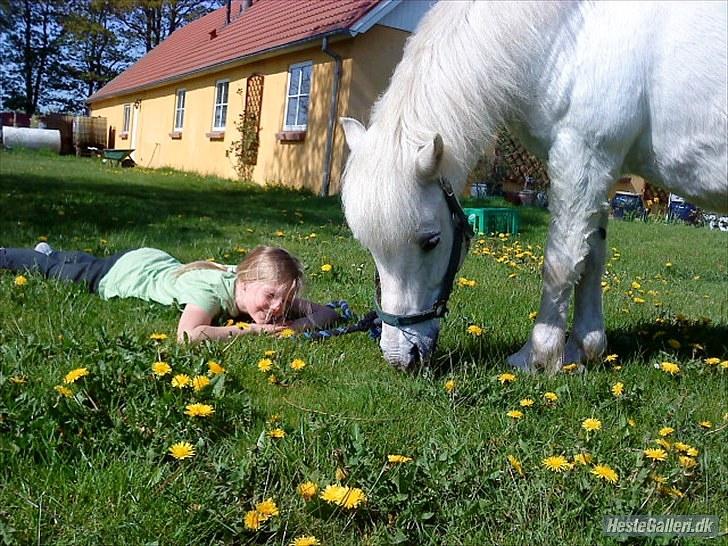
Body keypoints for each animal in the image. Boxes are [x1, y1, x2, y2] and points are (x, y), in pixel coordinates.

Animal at [342, 0, 728, 370]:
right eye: (370, 248)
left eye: (431, 241)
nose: (401, 358)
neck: (573, 31)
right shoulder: (600, 170)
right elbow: (592, 258)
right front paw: (583, 349)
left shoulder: (582, 157)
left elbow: (562, 264)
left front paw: (537, 356)